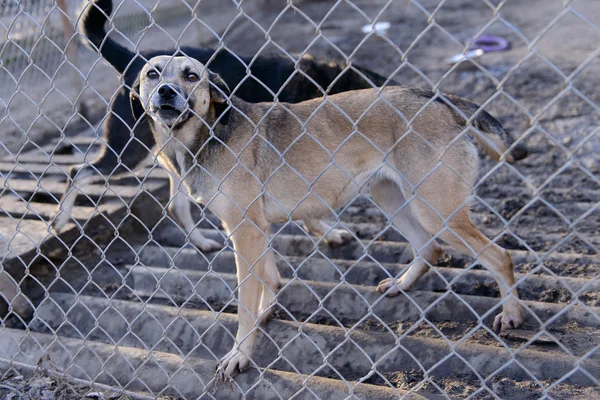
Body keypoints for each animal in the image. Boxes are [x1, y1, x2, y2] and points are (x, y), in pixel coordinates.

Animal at [49, 0, 392, 252]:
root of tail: (136, 59)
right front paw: (327, 232)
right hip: (128, 150)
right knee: (78, 171)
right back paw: (60, 219)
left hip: (175, 159)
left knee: (176, 206)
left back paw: (201, 242)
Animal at [130, 54, 520, 376]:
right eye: (152, 73)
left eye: (191, 75)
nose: (166, 92)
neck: (205, 133)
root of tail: (438, 98)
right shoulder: (255, 229)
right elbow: (270, 278)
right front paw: (266, 313)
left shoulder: (245, 231)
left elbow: (245, 303)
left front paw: (240, 354)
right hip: (393, 198)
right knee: (429, 248)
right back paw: (401, 284)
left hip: (436, 210)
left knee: (500, 256)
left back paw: (512, 314)